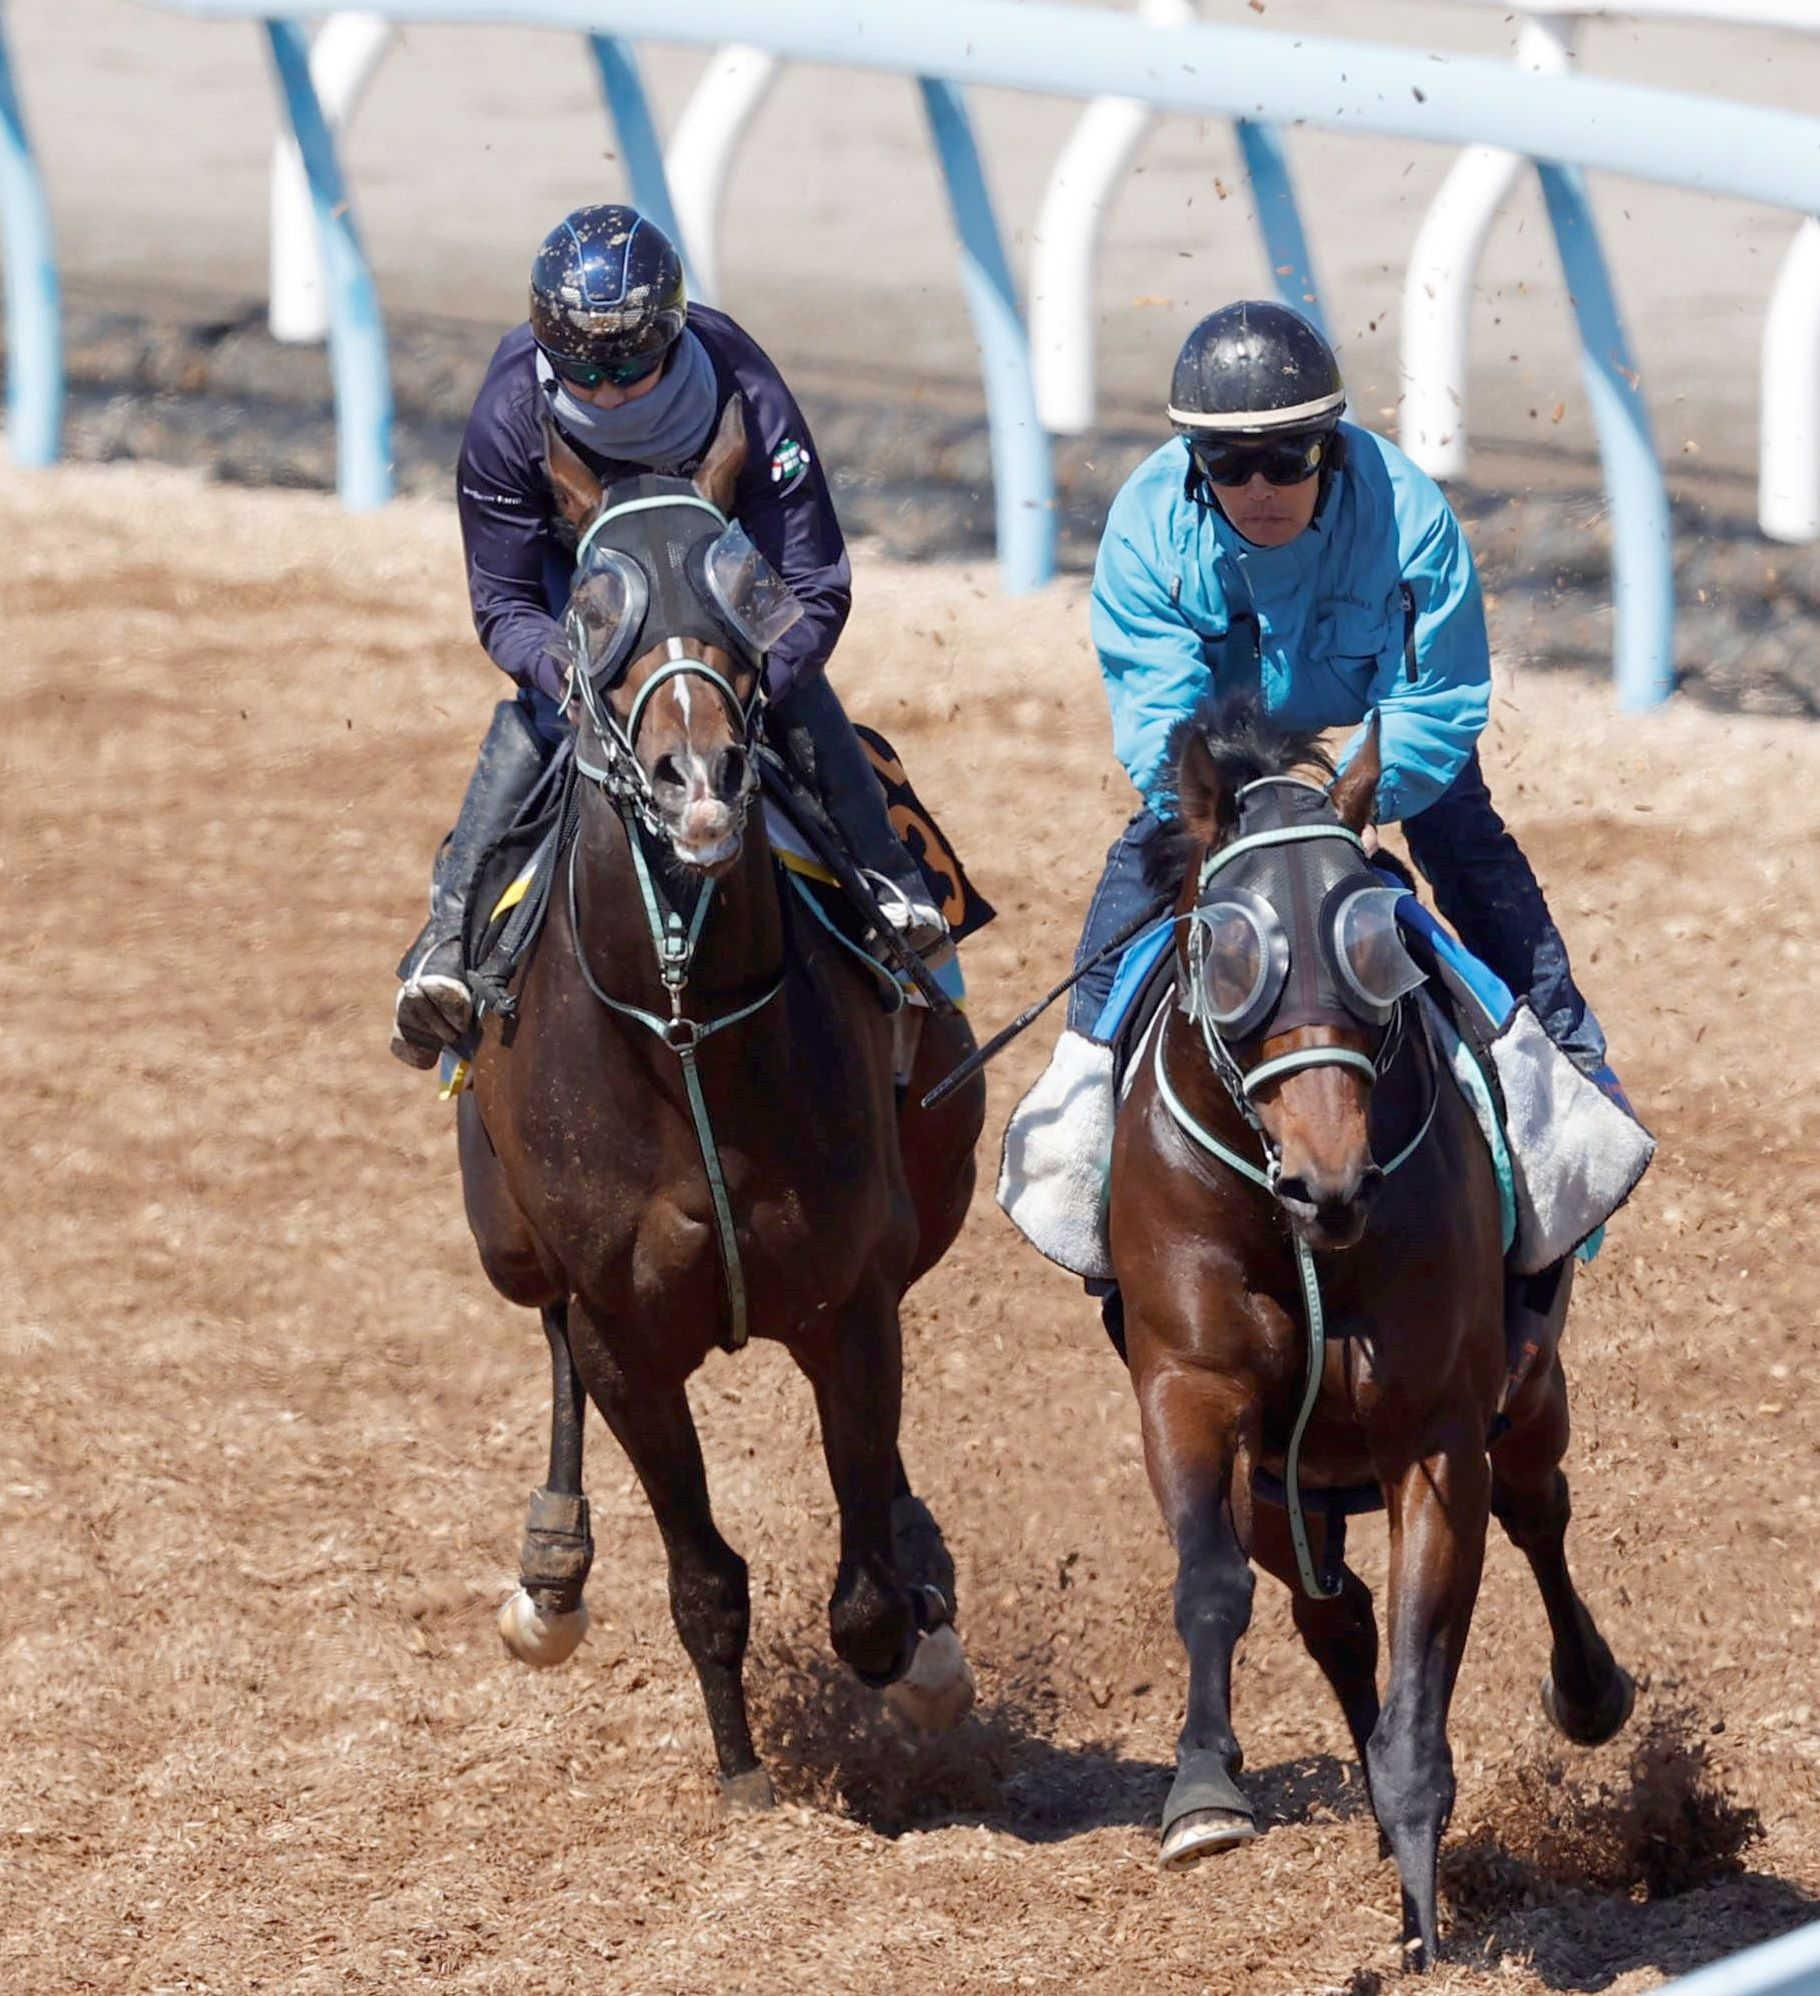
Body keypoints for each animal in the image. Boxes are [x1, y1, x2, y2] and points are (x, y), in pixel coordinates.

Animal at [455, 397, 987, 1805]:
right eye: (590, 605)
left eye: (748, 590)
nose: (694, 774)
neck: (686, 1037)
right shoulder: (623, 1337)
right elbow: (702, 1574)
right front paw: (744, 1775)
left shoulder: (849, 1299)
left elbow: (864, 1584)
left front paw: (919, 1652)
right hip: (506, 1243)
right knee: (544, 1337)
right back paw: (551, 1572)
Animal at [1107, 699, 1634, 1969]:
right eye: (1231, 954)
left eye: (1374, 942)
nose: (1330, 1178)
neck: (1301, 1235)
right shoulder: (1188, 1387)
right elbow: (1210, 1583)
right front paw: (1204, 1794)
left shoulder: (1431, 1435)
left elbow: (1416, 1685)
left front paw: (1426, 1930)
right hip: (1282, 1479)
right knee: (1328, 1611)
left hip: (1525, 1391)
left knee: (1535, 1508)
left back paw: (1587, 1690)